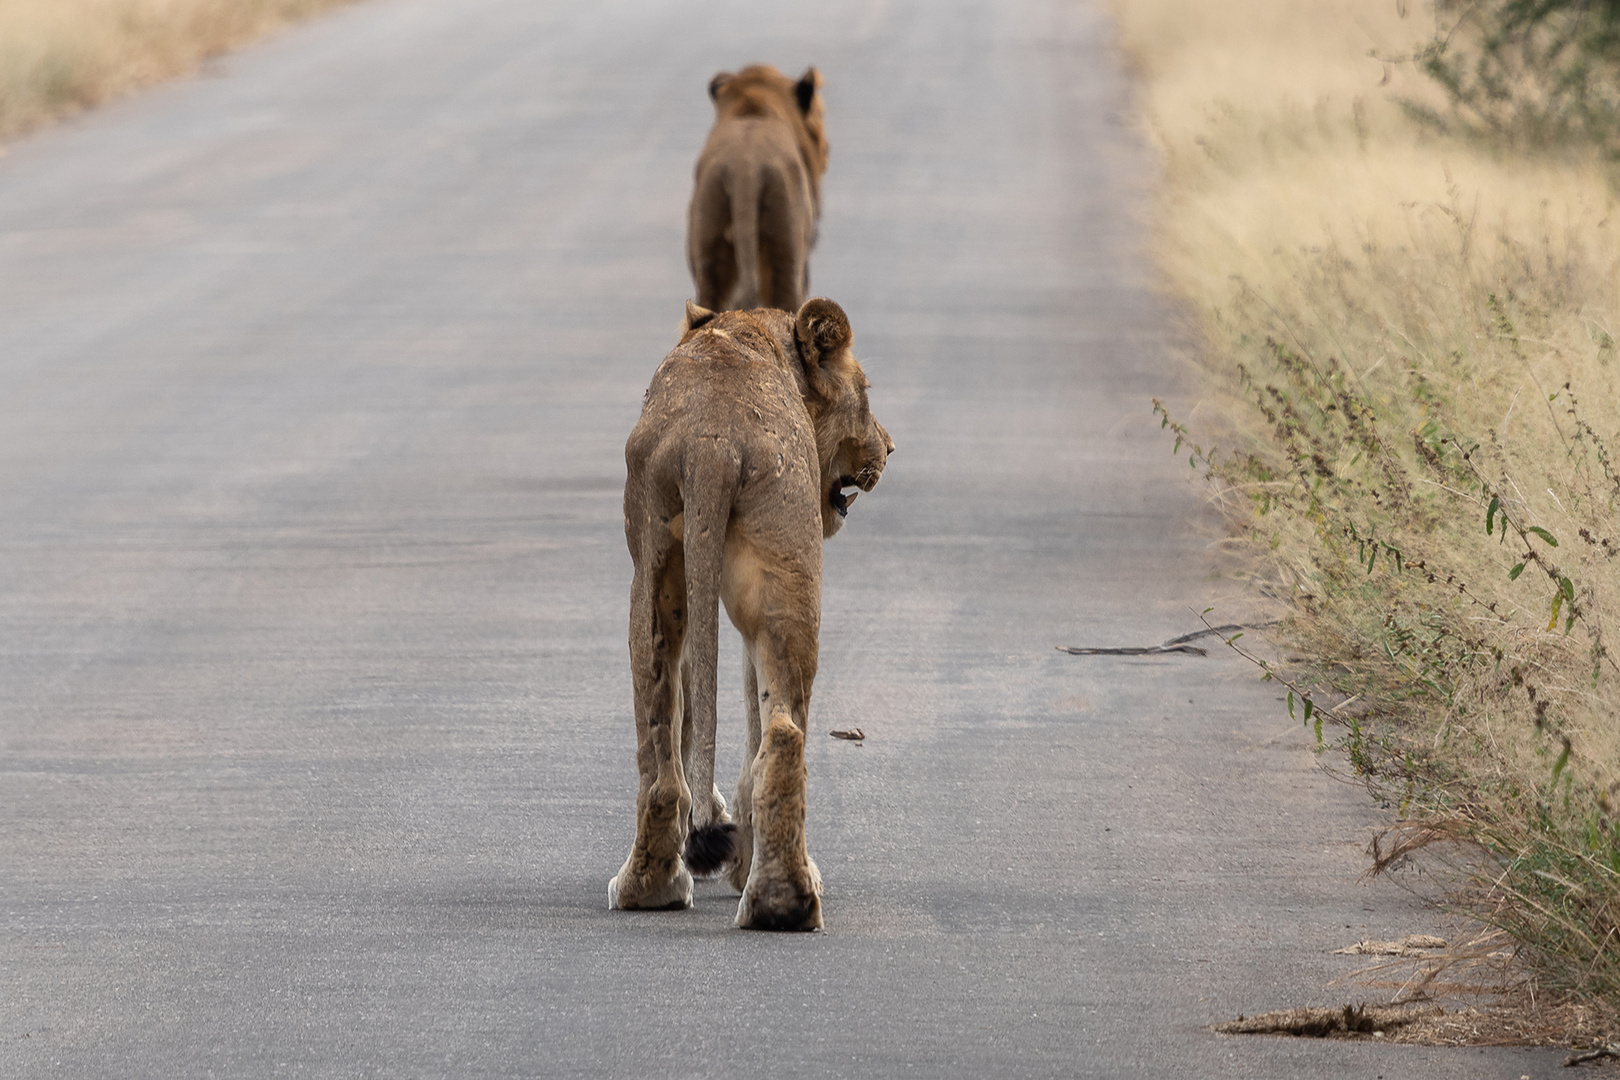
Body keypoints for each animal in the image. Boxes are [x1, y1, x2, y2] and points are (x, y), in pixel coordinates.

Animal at [609, 299, 894, 932]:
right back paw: (772, 898)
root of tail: (710, 443)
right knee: (782, 732)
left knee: (668, 752)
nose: (889, 448)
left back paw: (679, 891)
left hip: (657, 576)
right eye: (864, 391)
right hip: (781, 578)